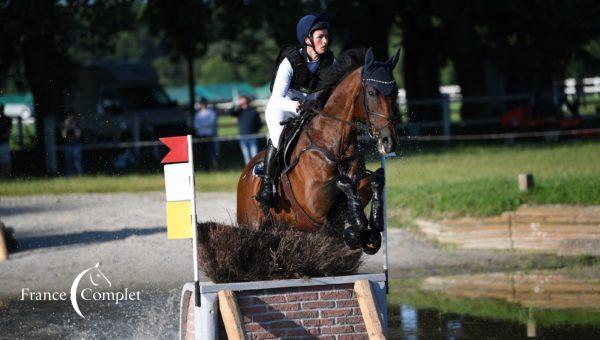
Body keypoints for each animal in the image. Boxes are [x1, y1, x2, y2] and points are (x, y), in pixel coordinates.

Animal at [236, 48, 398, 255]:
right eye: (371, 92)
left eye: (395, 92)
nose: (388, 141)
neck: (334, 145)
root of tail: (245, 173)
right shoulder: (313, 201)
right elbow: (342, 181)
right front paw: (359, 226)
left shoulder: (359, 182)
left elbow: (375, 179)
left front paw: (369, 229)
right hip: (251, 223)